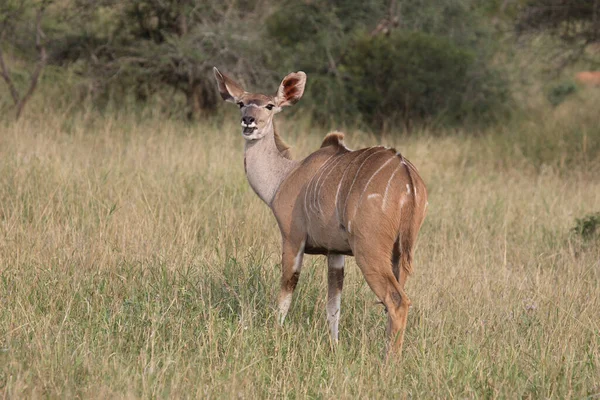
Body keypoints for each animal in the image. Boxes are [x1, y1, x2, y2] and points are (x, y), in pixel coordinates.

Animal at [213, 66, 428, 356]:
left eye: (269, 106)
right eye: (240, 103)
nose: (249, 121)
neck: (283, 177)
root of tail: (408, 178)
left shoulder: (292, 239)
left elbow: (287, 290)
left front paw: (274, 335)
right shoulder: (335, 252)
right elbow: (333, 305)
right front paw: (334, 347)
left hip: (369, 250)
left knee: (396, 301)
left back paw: (388, 360)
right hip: (400, 253)